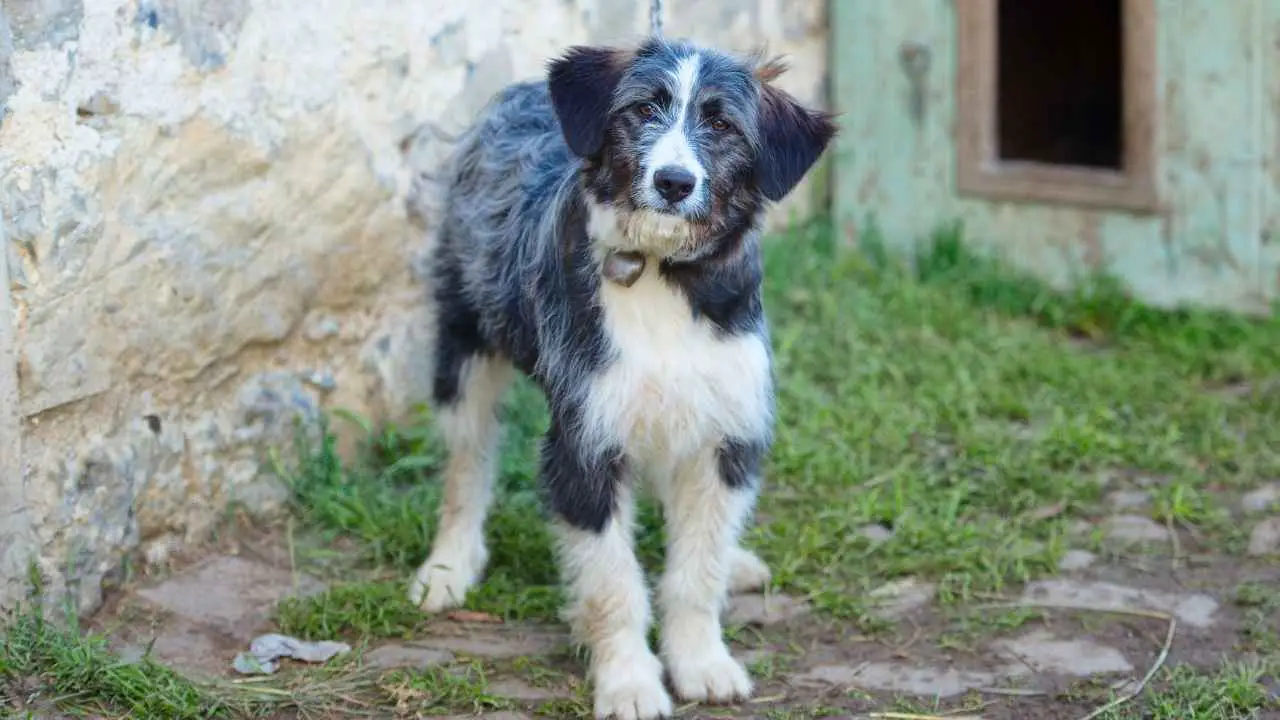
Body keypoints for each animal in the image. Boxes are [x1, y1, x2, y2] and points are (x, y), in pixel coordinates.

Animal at [409, 33, 839, 717]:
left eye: (722, 124)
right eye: (642, 110)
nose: (673, 181)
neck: (662, 272)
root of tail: (524, 91)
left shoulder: (727, 432)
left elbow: (695, 573)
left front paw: (701, 662)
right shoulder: (584, 443)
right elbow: (612, 583)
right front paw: (630, 682)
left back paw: (736, 560)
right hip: (464, 348)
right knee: (465, 467)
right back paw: (448, 568)